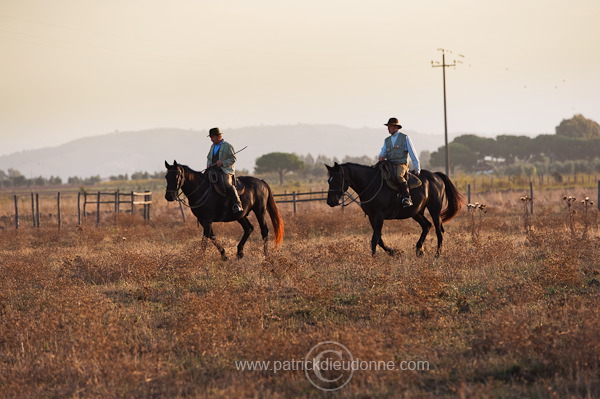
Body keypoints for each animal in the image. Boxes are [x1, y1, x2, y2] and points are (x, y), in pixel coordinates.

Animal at [328, 164, 464, 258]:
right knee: (426, 225)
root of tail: (436, 176)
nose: (330, 201)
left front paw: (374, 257)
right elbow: (379, 238)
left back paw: (437, 254)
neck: (371, 184)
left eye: (336, 180)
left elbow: (375, 238)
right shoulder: (372, 217)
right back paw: (419, 250)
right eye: (328, 180)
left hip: (434, 209)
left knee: (438, 231)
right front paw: (394, 252)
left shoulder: (379, 216)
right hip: (416, 212)